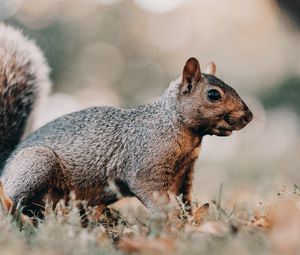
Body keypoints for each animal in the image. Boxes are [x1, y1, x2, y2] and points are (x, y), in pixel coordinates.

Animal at [0, 23, 253, 216]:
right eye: (213, 95)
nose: (249, 116)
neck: (177, 128)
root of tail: (5, 166)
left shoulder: (185, 174)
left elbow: (186, 199)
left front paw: (191, 221)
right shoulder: (146, 166)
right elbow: (154, 195)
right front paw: (171, 222)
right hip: (37, 164)